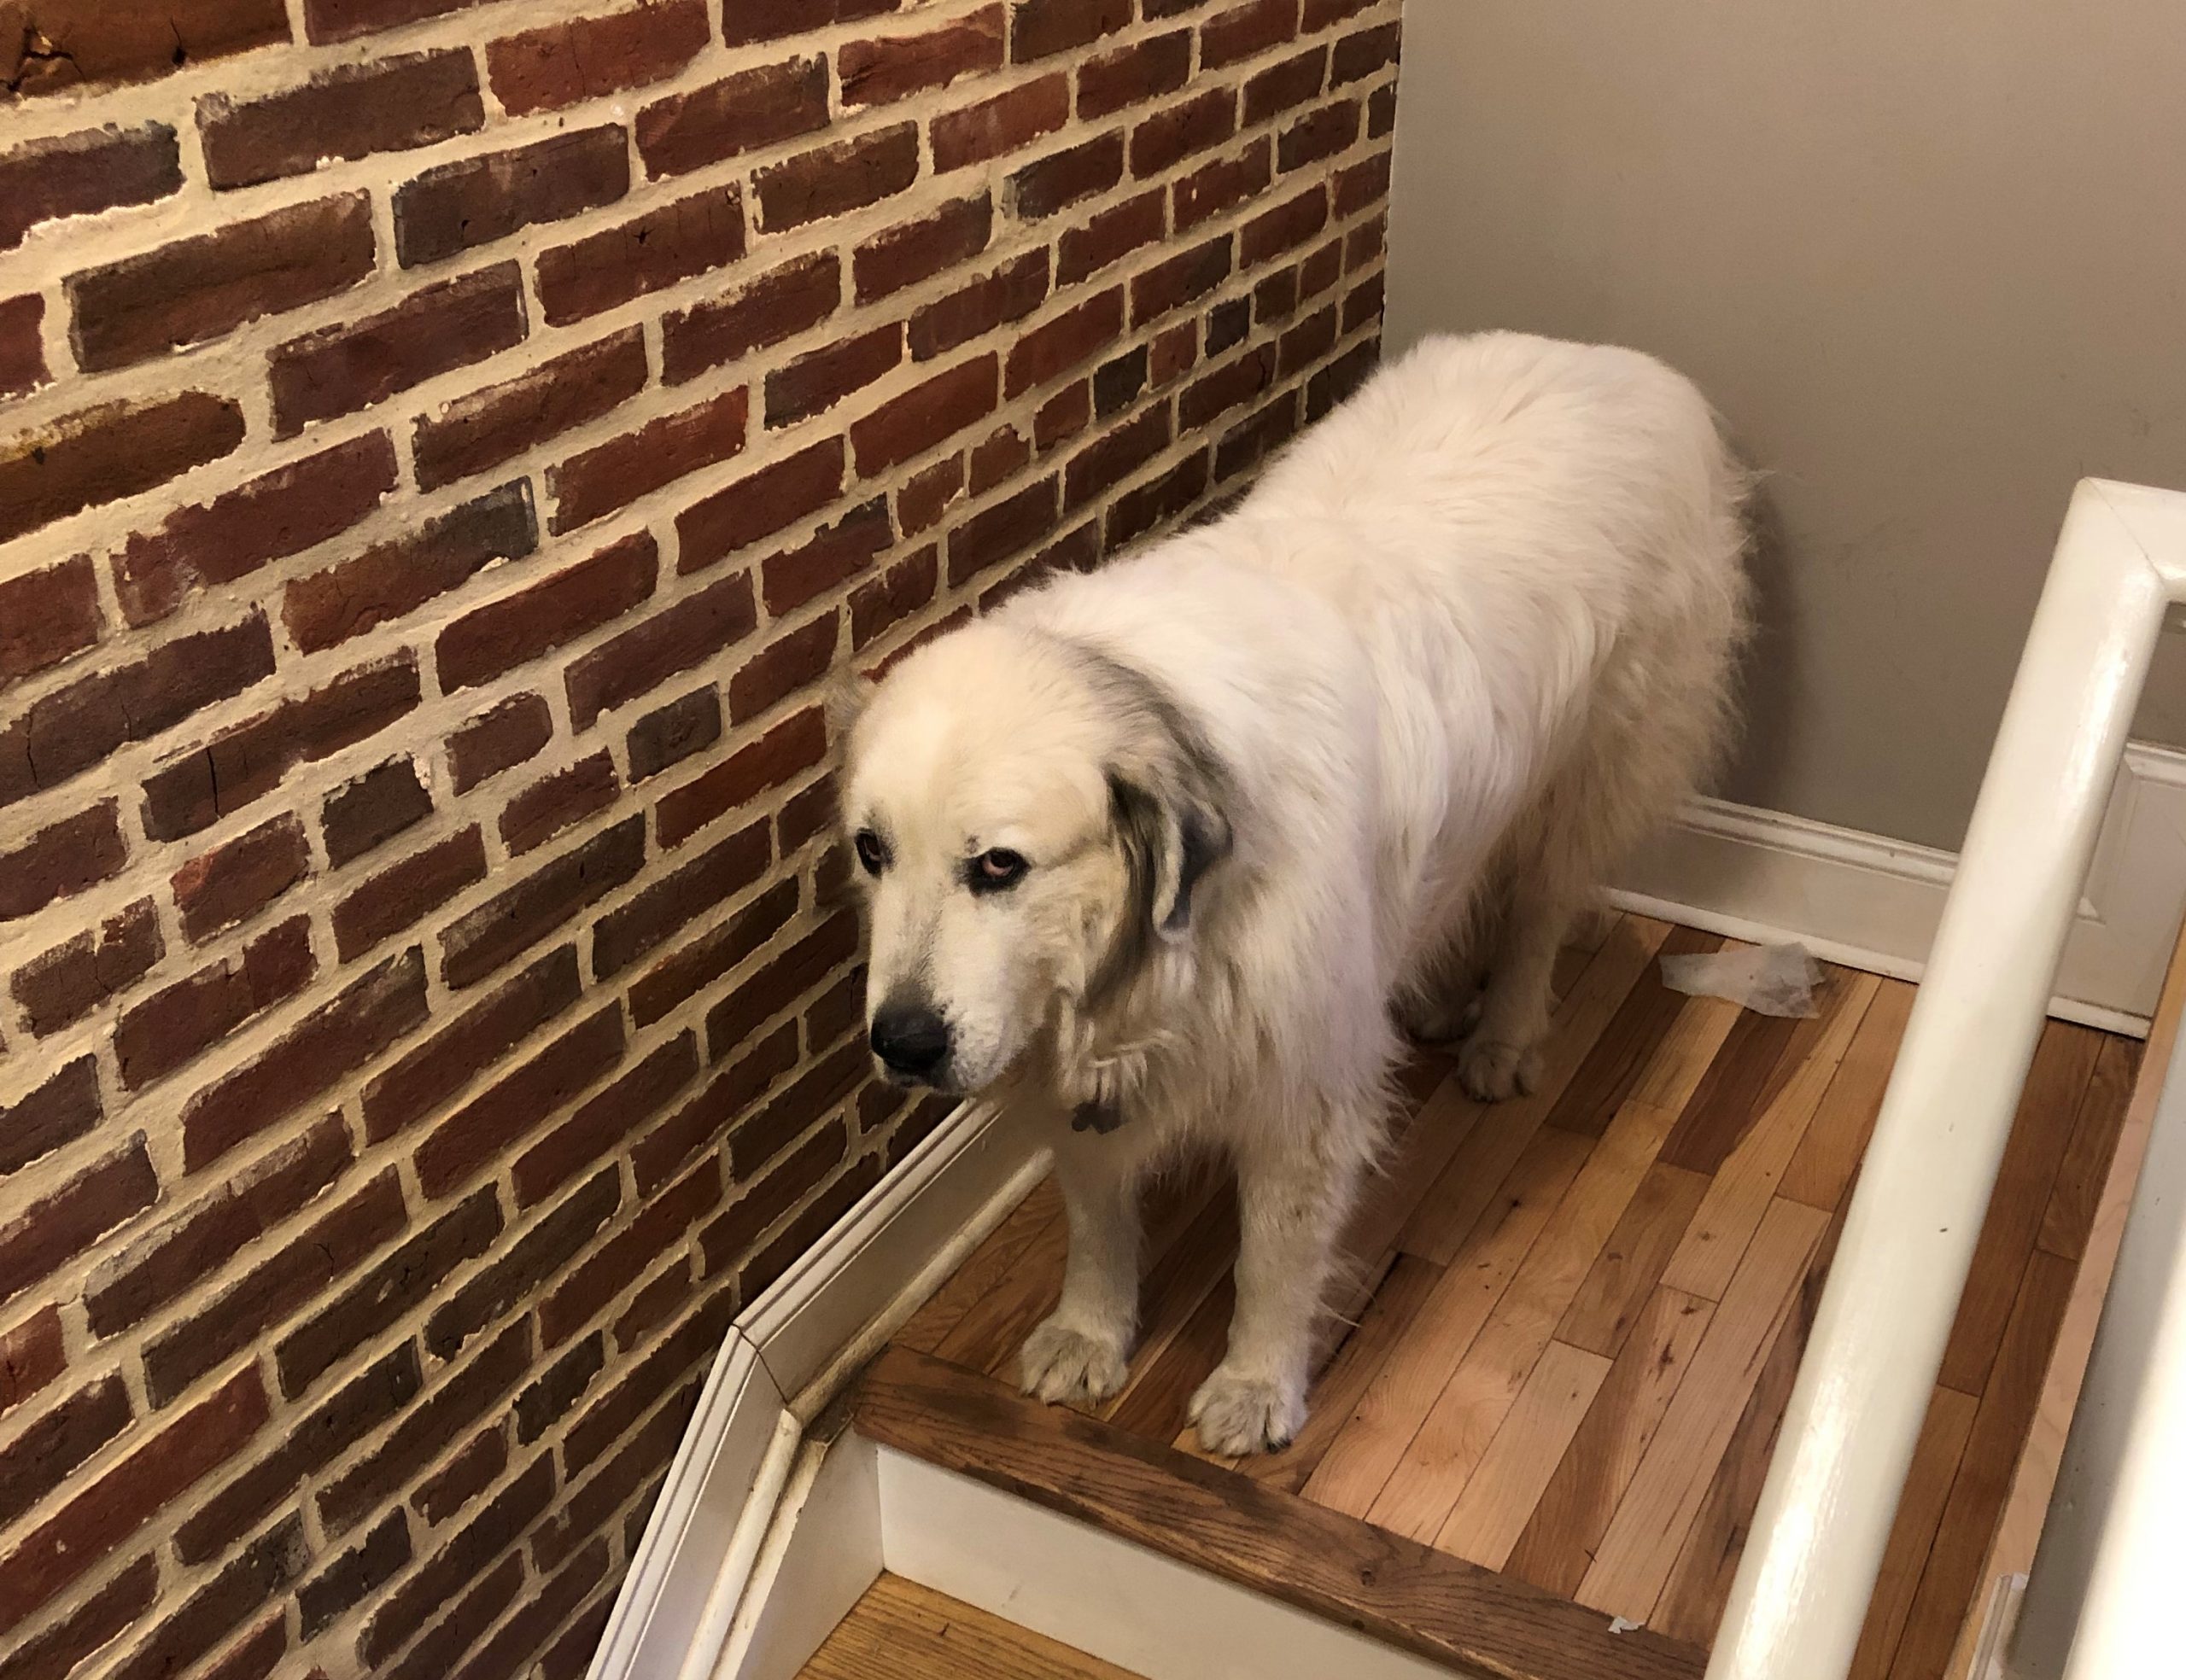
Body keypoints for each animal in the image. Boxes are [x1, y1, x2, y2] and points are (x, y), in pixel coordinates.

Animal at [826, 331, 1749, 1450]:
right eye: (872, 851)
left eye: (998, 865)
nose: (903, 1045)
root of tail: (1613, 358)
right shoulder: (1078, 1077)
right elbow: (1096, 1214)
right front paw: (1090, 1332)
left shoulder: (1300, 1088)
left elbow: (1274, 1256)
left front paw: (1257, 1387)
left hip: (1590, 769)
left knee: (1538, 904)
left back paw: (1502, 1038)